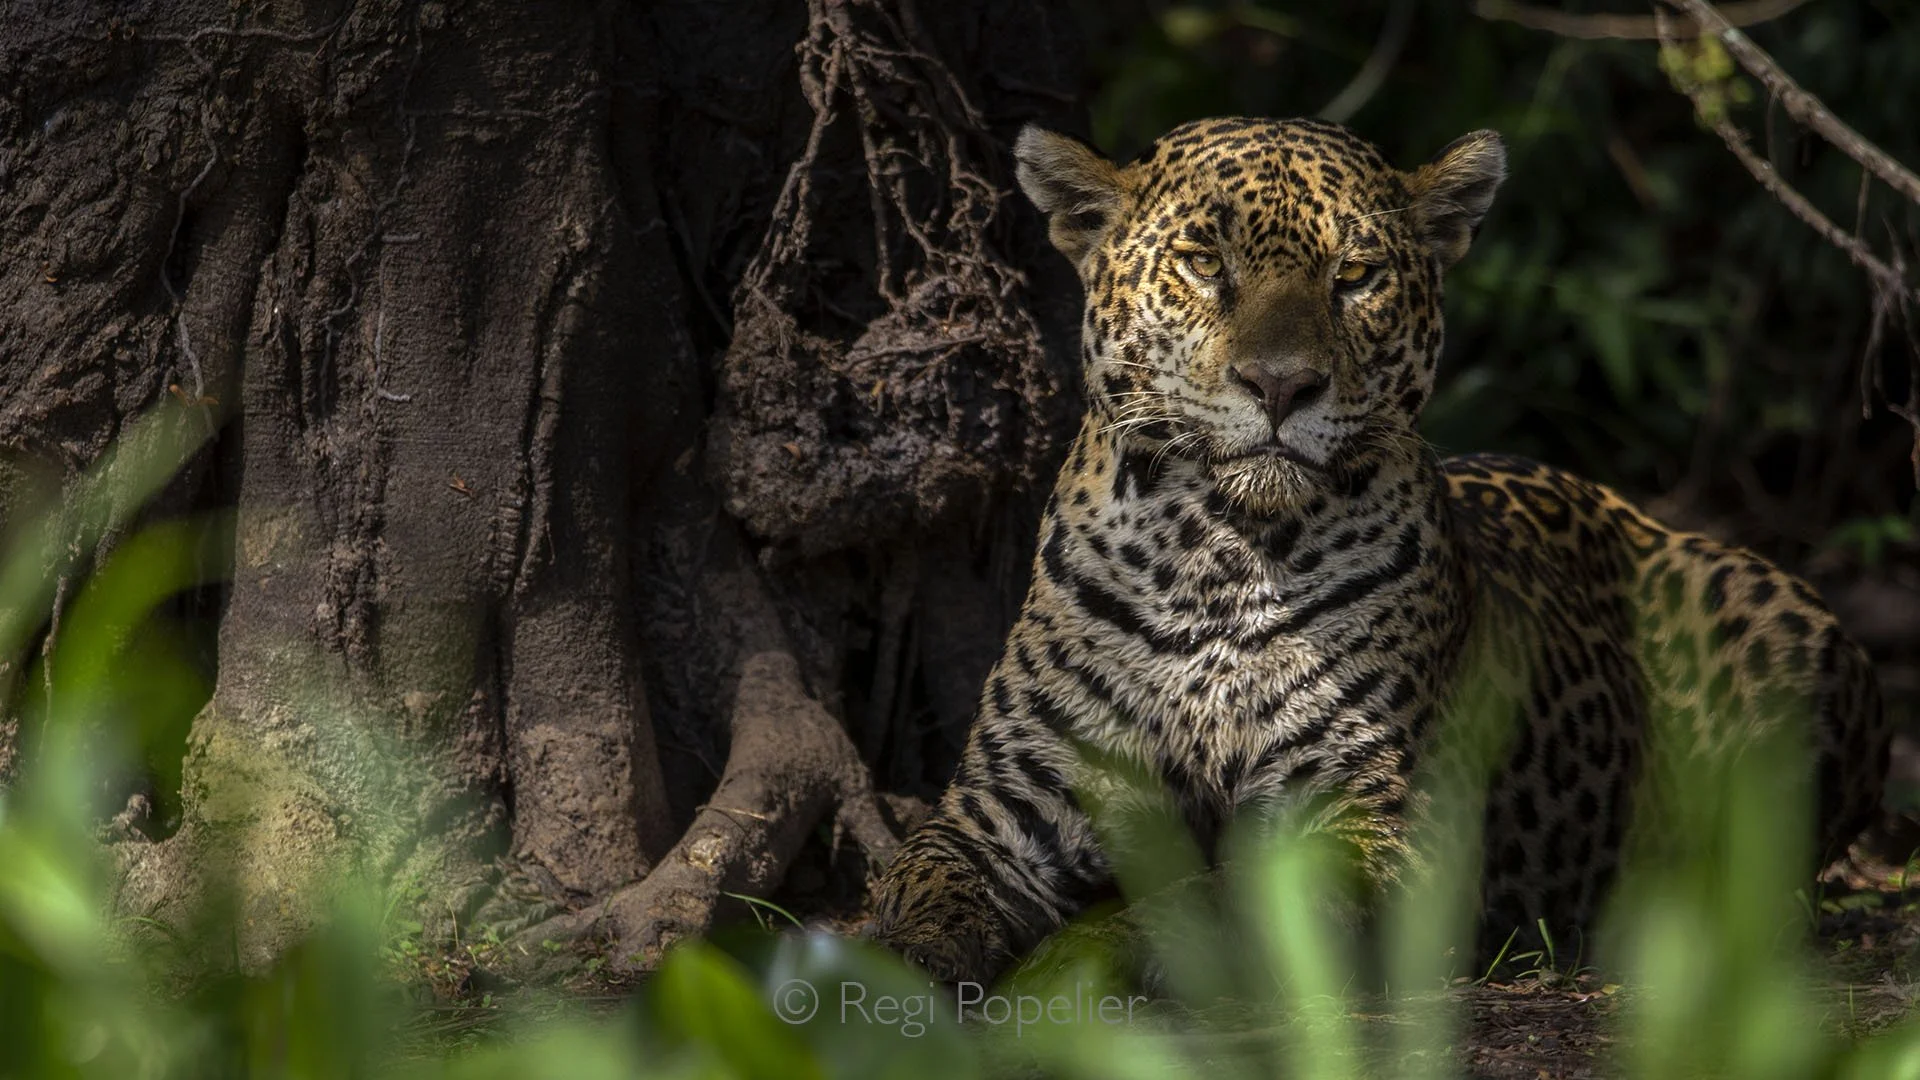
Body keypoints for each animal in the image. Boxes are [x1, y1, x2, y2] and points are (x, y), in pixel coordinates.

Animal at [868, 116, 1890, 986]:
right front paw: (891, 975)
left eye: (1355, 275)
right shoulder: (996, 814)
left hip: (1782, 623)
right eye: (1202, 263)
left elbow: (1221, 899)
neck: (1215, 556)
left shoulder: (1378, 823)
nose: (1281, 384)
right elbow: (920, 891)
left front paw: (1108, 948)